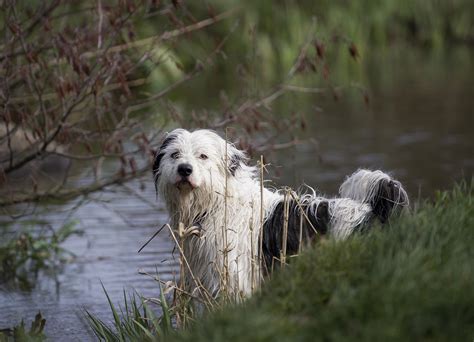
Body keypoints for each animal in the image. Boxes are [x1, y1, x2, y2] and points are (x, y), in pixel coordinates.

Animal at [154, 128, 410, 300]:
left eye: (203, 156)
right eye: (174, 154)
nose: (184, 169)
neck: (217, 202)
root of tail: (372, 210)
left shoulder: (237, 278)